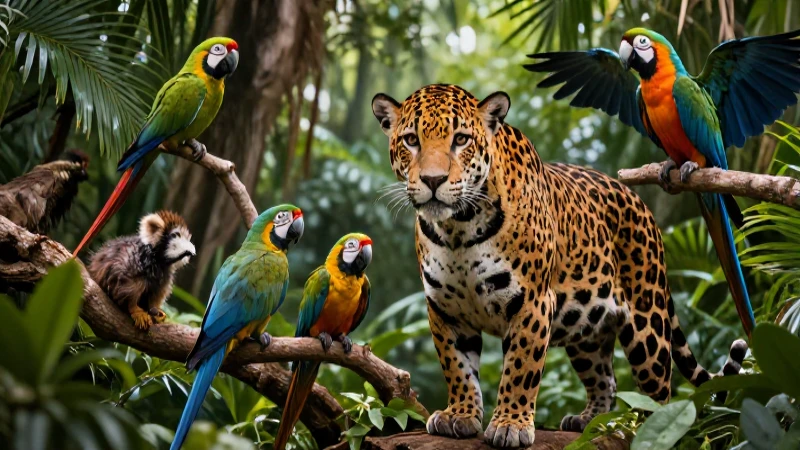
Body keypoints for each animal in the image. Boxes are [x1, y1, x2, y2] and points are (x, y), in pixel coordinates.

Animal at [371, 84, 748, 448]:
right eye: (411, 140)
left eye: (461, 139)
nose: (433, 181)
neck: (458, 228)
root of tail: (640, 204)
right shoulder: (444, 309)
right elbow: (457, 366)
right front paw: (460, 415)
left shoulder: (532, 302)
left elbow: (521, 367)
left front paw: (510, 426)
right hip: (587, 329)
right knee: (605, 379)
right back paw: (594, 421)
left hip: (647, 327)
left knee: (660, 391)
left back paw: (643, 426)